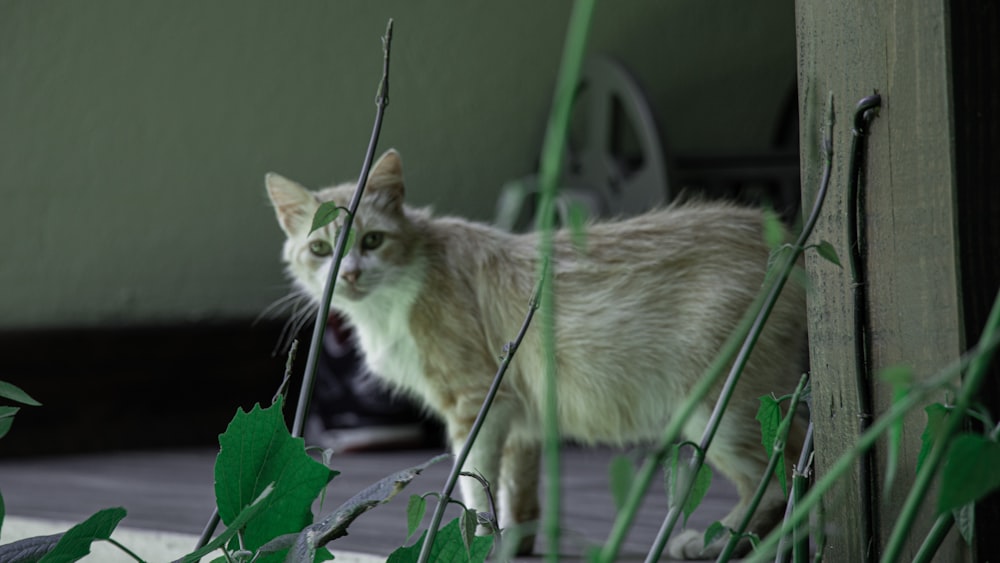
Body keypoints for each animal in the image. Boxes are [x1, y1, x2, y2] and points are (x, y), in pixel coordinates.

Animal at [264, 150, 804, 560]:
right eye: (320, 249)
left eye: (372, 240)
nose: (350, 274)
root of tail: (790, 241)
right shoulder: (520, 418)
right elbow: (514, 496)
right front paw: (510, 545)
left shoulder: (476, 404)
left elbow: (474, 488)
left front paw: (477, 544)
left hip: (718, 412)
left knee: (785, 477)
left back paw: (721, 542)